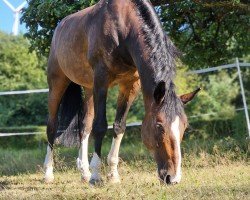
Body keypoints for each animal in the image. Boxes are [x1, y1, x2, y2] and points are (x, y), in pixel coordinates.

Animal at [43, 0, 199, 185]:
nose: (173, 178)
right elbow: (100, 126)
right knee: (52, 126)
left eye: (184, 126)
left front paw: (113, 174)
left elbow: (119, 126)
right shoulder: (101, 80)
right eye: (159, 126)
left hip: (88, 88)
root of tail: (59, 28)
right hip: (57, 83)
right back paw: (49, 173)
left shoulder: (130, 85)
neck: (123, 28)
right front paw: (96, 175)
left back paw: (84, 172)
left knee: (84, 126)